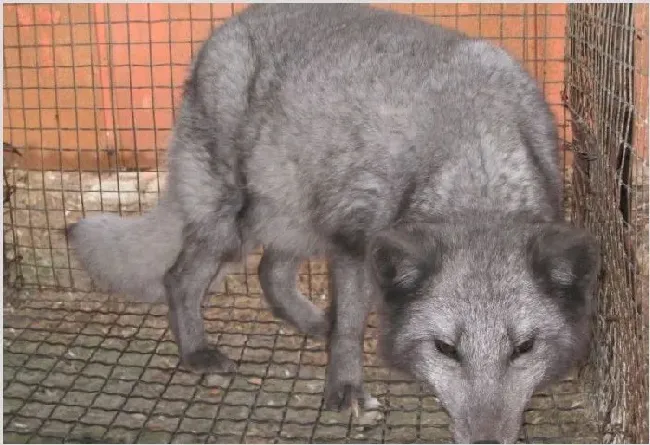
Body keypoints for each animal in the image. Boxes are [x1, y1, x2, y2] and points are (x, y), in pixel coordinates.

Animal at [67, 5, 596, 442]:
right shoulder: (355, 242)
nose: (488, 441)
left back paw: (310, 321)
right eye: (446, 348)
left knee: (270, 272)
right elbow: (350, 329)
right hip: (229, 215)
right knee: (179, 277)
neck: (475, 170)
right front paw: (345, 388)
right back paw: (198, 352)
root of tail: (226, 28)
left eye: (524, 347)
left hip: (292, 208)